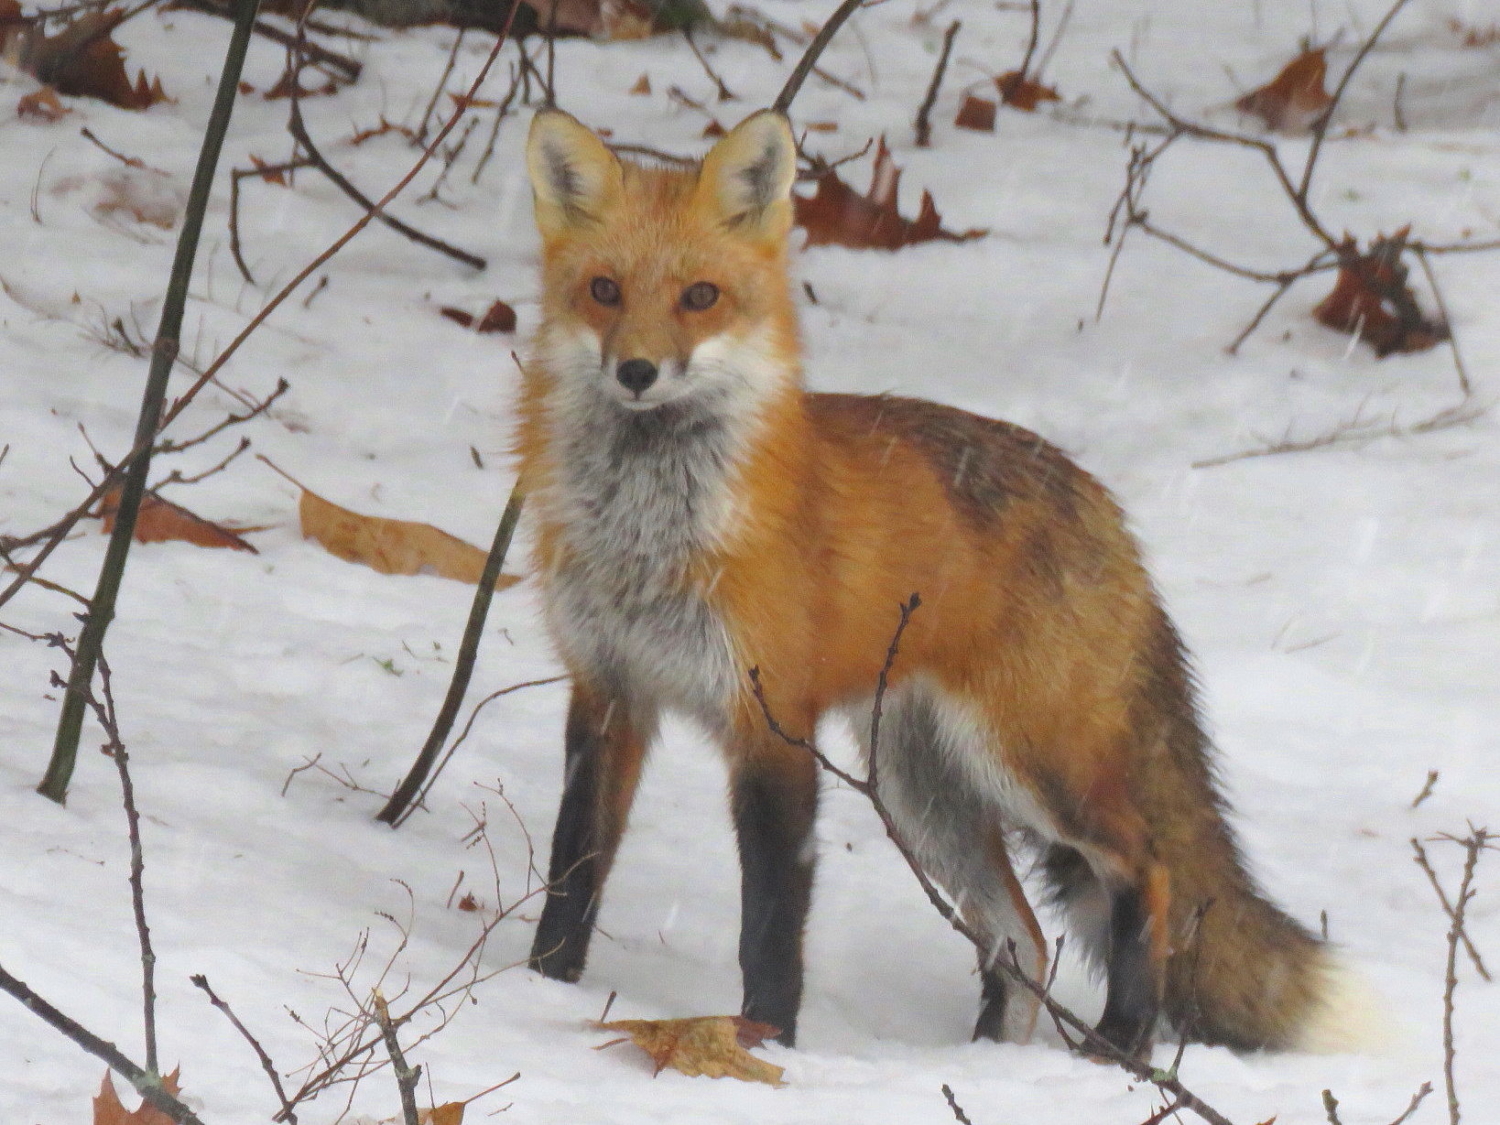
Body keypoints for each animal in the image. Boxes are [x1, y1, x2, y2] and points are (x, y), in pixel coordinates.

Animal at [517, 106, 1368, 1056]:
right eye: (604, 290)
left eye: (699, 297)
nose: (636, 372)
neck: (648, 535)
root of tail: (1110, 510)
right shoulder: (608, 690)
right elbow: (572, 874)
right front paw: (537, 988)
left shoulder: (773, 721)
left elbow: (770, 921)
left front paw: (765, 1041)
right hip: (920, 789)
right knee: (1024, 935)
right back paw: (994, 1058)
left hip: (1029, 762)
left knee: (1147, 868)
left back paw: (1119, 1043)